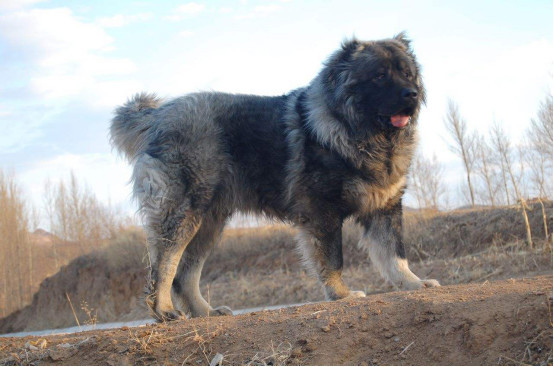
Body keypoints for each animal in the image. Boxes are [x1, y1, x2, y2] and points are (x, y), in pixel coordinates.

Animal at [110, 33, 438, 324]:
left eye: (408, 74)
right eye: (380, 76)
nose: (411, 93)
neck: (361, 134)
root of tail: (157, 116)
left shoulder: (385, 208)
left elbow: (395, 254)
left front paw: (414, 284)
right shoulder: (323, 214)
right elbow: (333, 259)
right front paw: (341, 295)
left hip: (208, 223)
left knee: (184, 274)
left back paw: (205, 312)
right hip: (182, 213)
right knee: (164, 265)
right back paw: (164, 311)